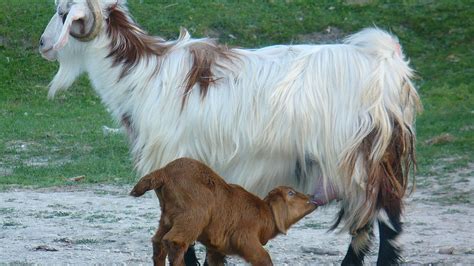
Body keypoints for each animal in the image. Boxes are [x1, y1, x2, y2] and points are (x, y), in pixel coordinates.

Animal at [39, 1, 420, 264]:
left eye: (62, 12)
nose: (42, 44)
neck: (143, 74)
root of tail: (388, 62)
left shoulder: (174, 156)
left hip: (361, 155)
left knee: (385, 220)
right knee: (365, 223)